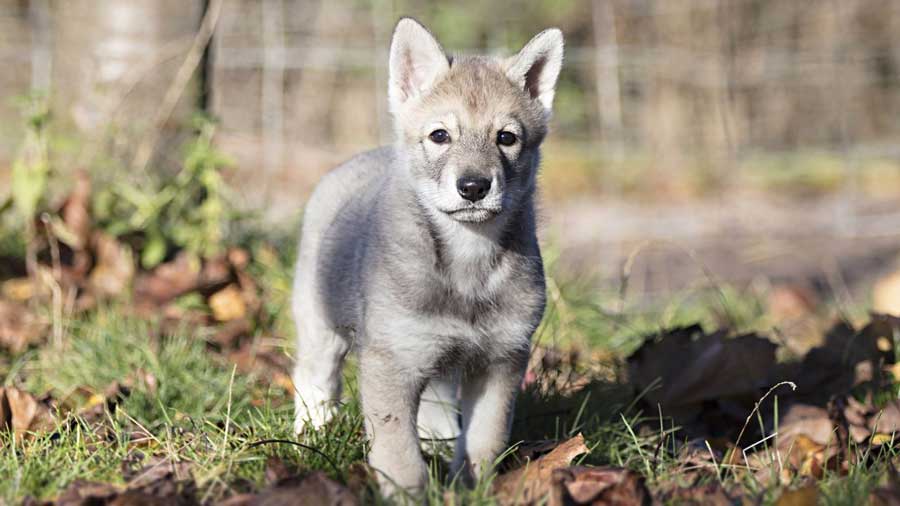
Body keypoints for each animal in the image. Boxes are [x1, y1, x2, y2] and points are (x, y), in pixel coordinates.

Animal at [294, 15, 564, 494]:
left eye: (506, 138)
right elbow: (398, 451)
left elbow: (484, 438)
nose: (474, 187)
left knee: (435, 407)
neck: (468, 261)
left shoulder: (501, 360)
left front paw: (472, 489)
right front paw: (407, 494)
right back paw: (310, 434)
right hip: (321, 327)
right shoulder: (392, 361)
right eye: (440, 135)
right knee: (312, 382)